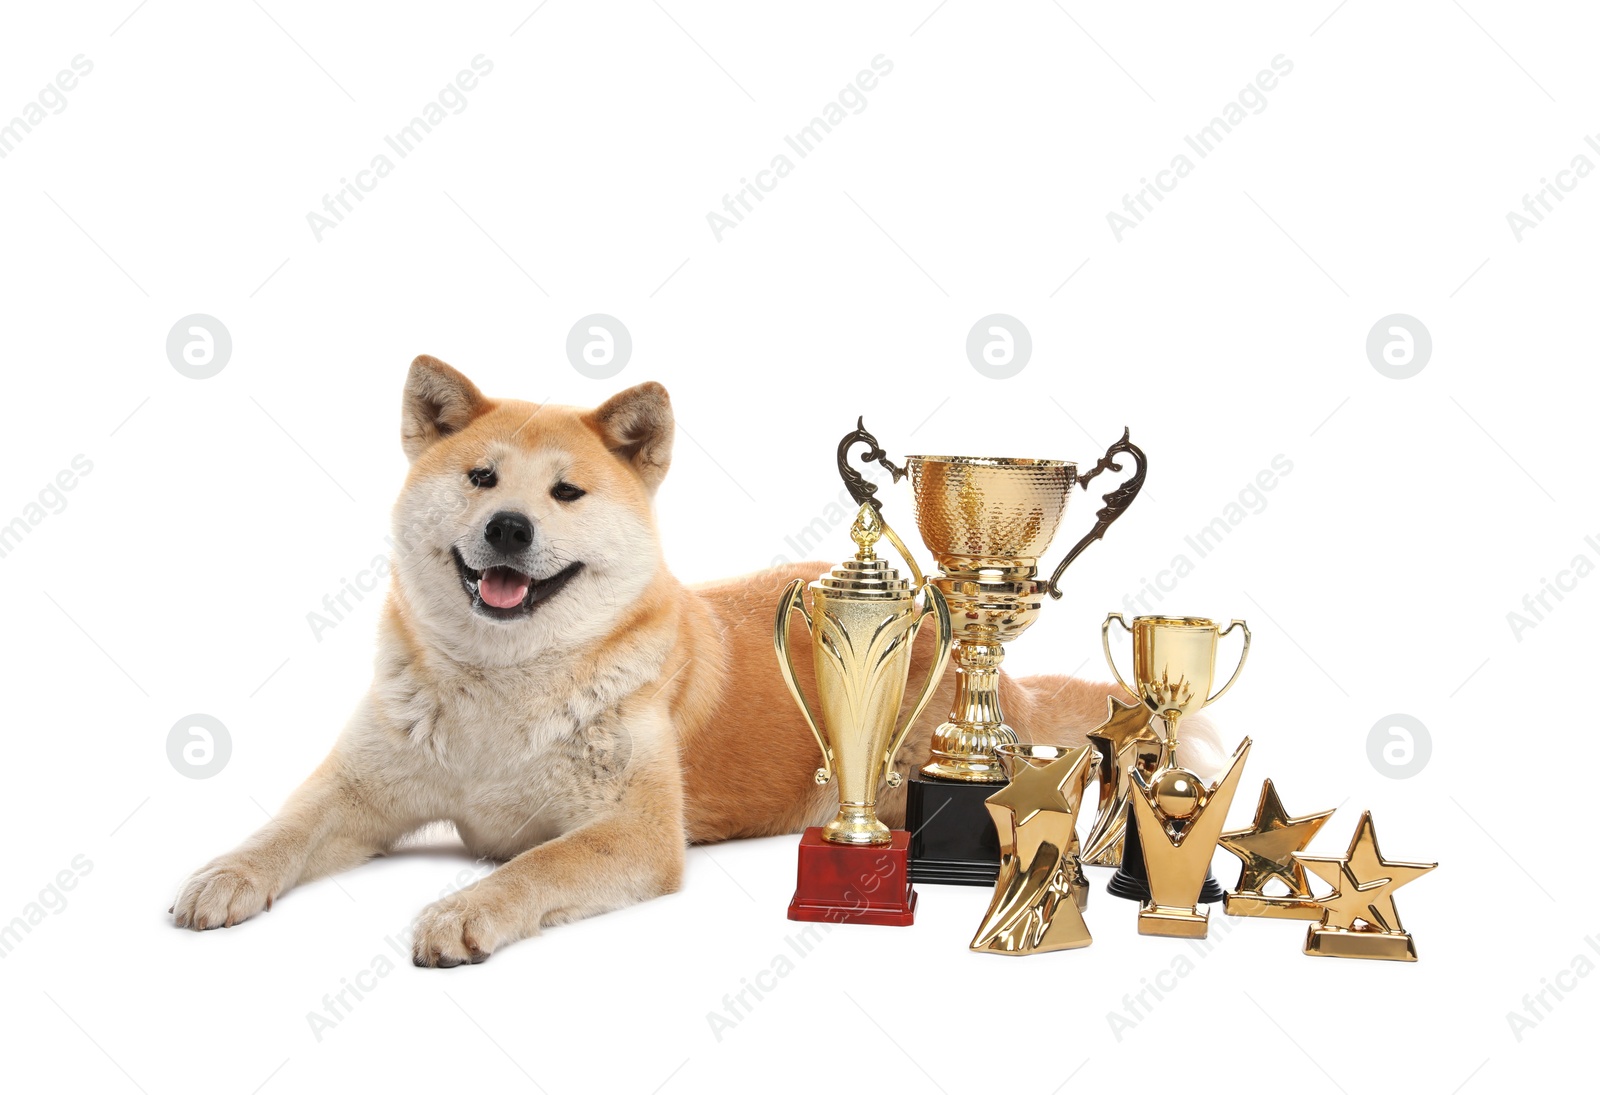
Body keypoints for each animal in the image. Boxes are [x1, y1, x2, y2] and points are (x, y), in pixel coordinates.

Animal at [168, 355, 1209, 960]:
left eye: (567, 492)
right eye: (480, 477)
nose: (508, 527)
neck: (503, 687)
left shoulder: (634, 834)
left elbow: (533, 866)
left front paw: (465, 907)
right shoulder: (359, 789)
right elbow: (285, 826)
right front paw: (224, 873)